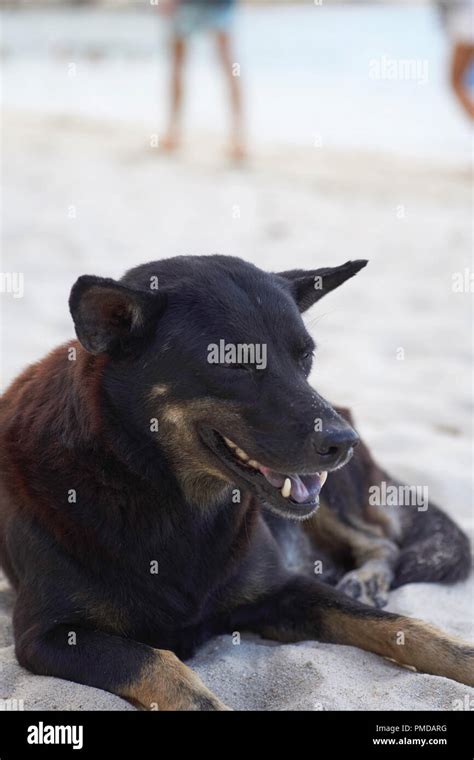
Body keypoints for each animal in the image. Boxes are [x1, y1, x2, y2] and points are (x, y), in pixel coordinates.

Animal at [0, 256, 472, 712]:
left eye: (305, 356)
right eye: (234, 362)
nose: (343, 442)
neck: (172, 500)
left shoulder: (287, 589)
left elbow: (406, 626)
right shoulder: (50, 636)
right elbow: (165, 667)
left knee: (378, 539)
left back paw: (367, 578)